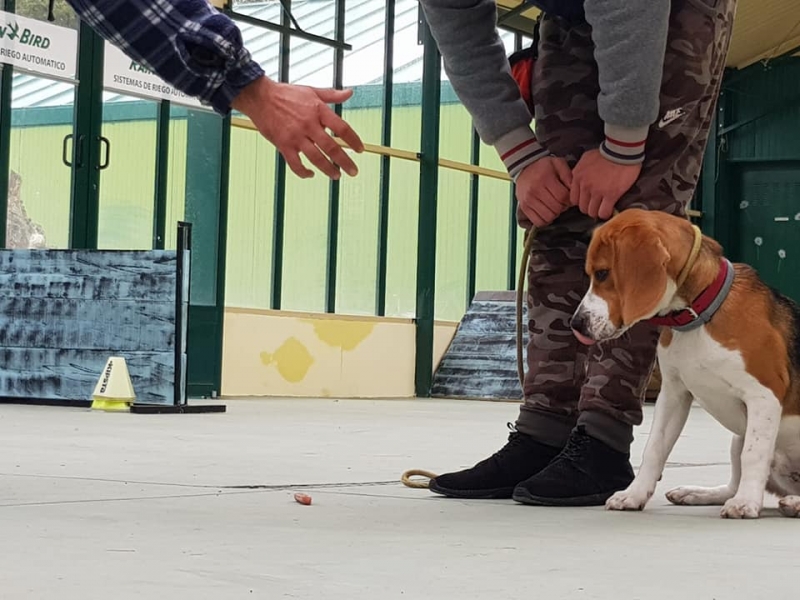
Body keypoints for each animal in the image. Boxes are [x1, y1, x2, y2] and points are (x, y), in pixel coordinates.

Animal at [568, 209, 800, 516]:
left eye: (603, 273)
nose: (576, 324)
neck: (698, 316)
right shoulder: (674, 394)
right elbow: (654, 448)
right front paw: (634, 494)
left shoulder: (764, 393)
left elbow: (754, 454)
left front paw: (746, 503)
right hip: (737, 437)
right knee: (731, 484)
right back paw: (697, 493)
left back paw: (791, 502)